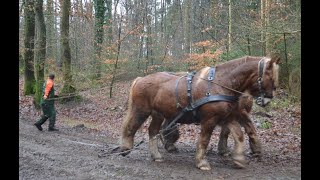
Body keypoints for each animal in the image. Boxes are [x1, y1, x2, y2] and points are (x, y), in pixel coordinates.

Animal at [119, 55, 278, 171]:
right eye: (270, 77)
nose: (268, 99)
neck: (221, 84)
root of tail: (140, 79)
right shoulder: (210, 119)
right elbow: (204, 140)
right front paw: (202, 162)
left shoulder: (227, 116)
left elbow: (238, 135)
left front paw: (238, 159)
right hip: (141, 110)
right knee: (131, 127)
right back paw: (126, 148)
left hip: (158, 114)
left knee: (153, 131)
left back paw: (156, 155)